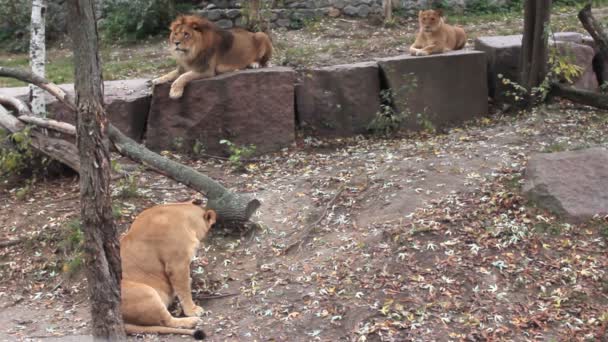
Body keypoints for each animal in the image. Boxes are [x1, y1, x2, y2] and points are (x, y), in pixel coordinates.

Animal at [120, 200, 217, 340]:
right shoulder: (177, 264)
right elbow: (184, 290)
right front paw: (192, 310)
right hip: (146, 292)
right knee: (166, 321)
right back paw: (192, 321)